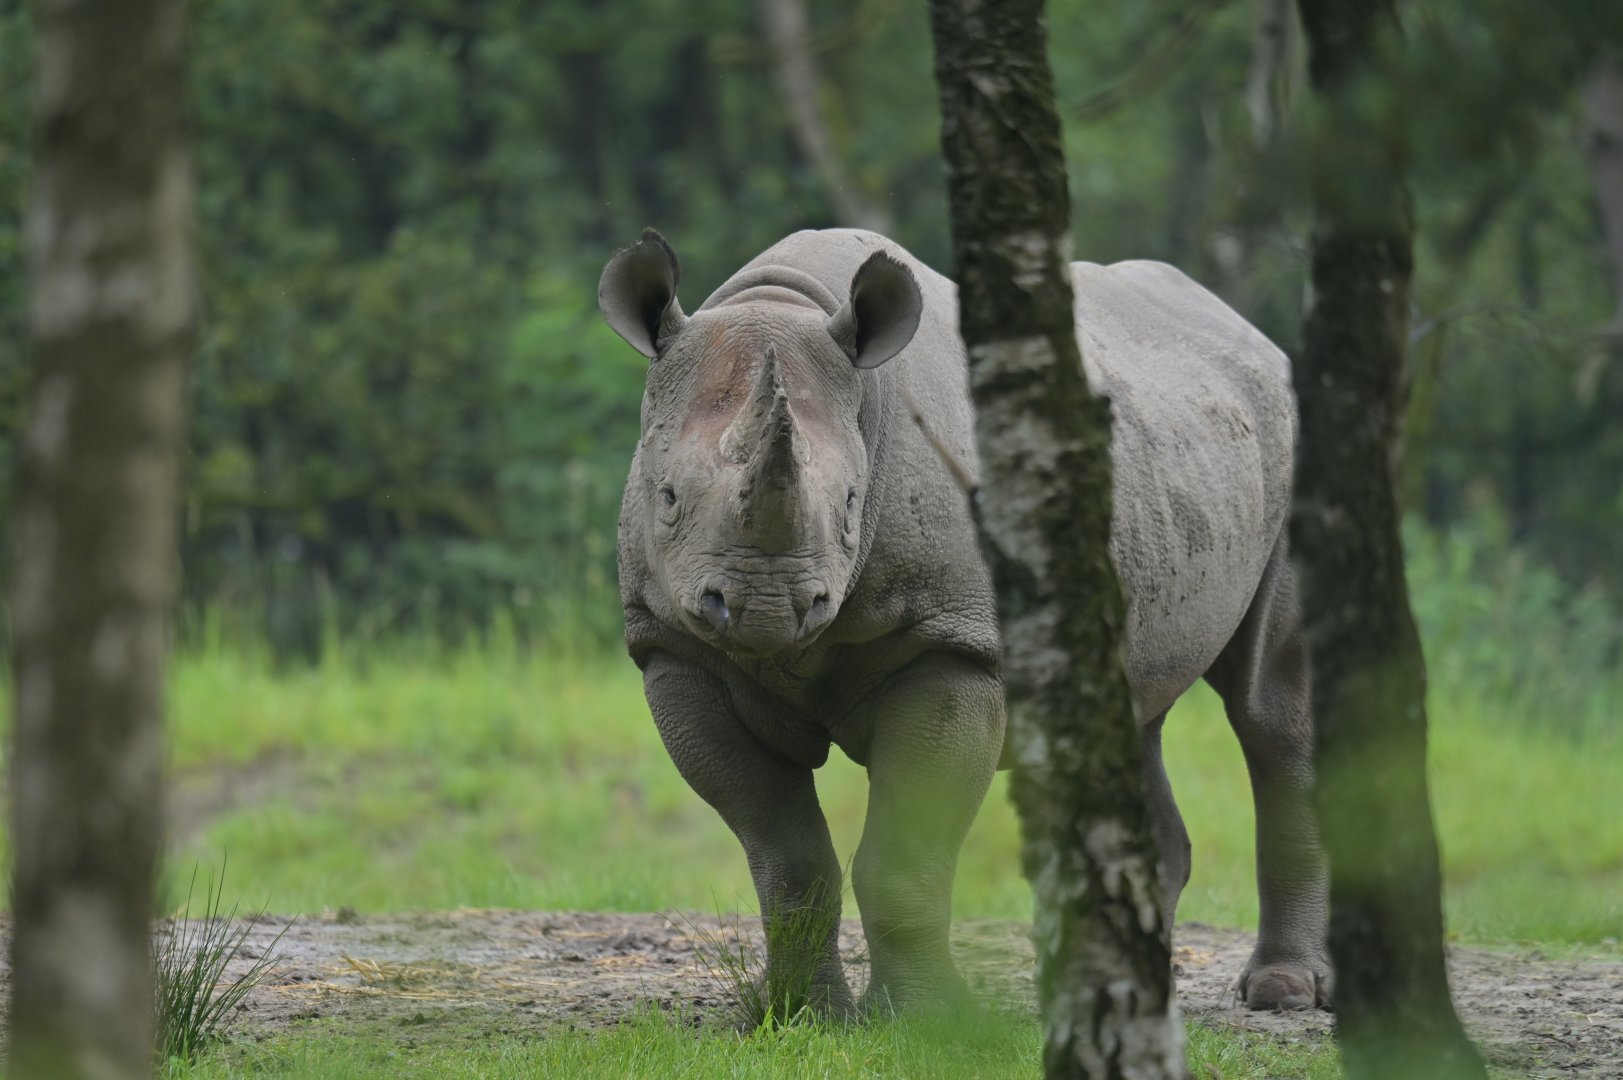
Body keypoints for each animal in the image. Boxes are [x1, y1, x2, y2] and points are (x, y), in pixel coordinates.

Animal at [600, 227, 1330, 1015]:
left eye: (853, 503)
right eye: (667, 497)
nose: (767, 605)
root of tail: (1255, 337)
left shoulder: (954, 645)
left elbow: (902, 854)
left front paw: (924, 1016)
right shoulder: (675, 649)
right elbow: (786, 855)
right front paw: (800, 1012)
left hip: (1289, 444)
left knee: (1269, 712)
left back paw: (1282, 992)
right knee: (1130, 711)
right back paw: (1120, 995)